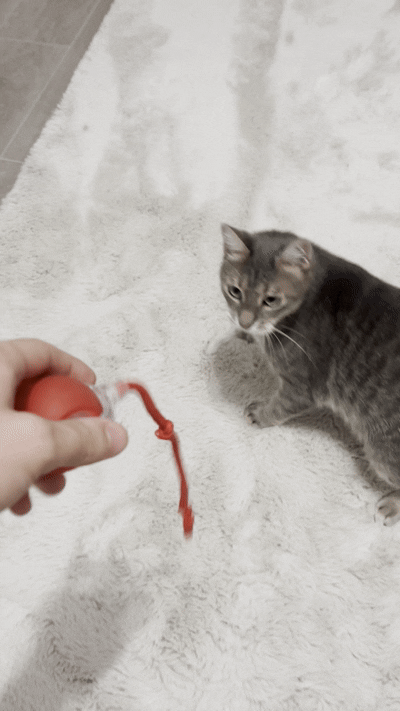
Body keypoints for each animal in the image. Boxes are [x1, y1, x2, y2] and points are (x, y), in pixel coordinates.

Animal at [220, 222, 400, 526]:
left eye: (271, 300)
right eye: (234, 291)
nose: (244, 321)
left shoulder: (301, 388)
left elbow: (278, 407)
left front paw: (260, 414)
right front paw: (243, 333)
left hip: (383, 451)